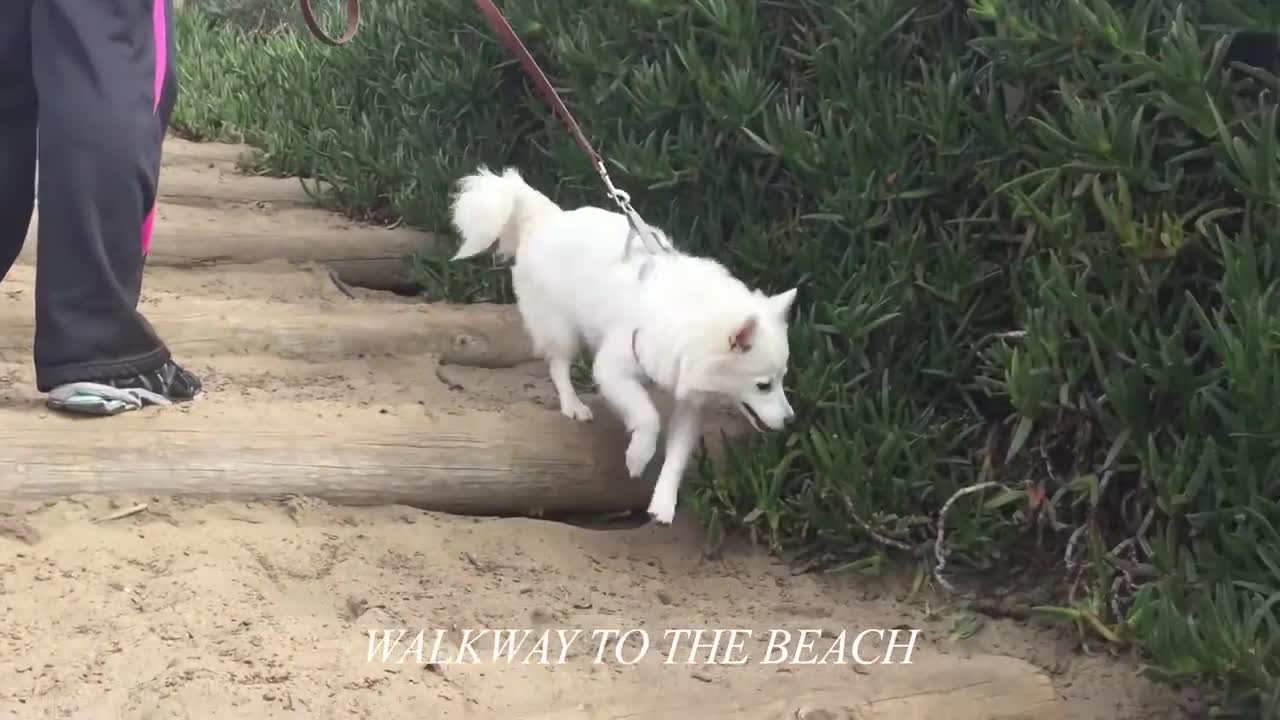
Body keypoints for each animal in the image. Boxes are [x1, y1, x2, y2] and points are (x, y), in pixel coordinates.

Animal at [445, 167, 793, 520]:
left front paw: (663, 503)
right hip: (563, 329)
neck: (691, 322)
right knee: (558, 365)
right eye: (764, 385)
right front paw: (638, 456)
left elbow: (677, 456)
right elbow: (647, 416)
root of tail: (546, 218)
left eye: (782, 379)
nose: (791, 420)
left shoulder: (689, 404)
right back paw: (573, 405)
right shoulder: (613, 371)